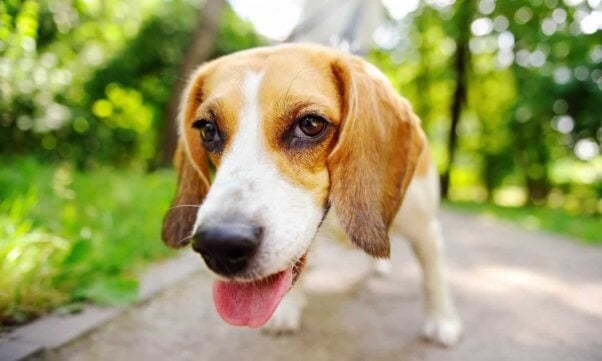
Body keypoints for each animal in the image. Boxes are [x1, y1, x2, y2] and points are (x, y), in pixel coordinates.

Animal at [159, 43, 460, 346]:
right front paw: (288, 307)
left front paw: (442, 320)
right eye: (208, 130)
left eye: (311, 124)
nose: (220, 244)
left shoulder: (426, 231)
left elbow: (434, 278)